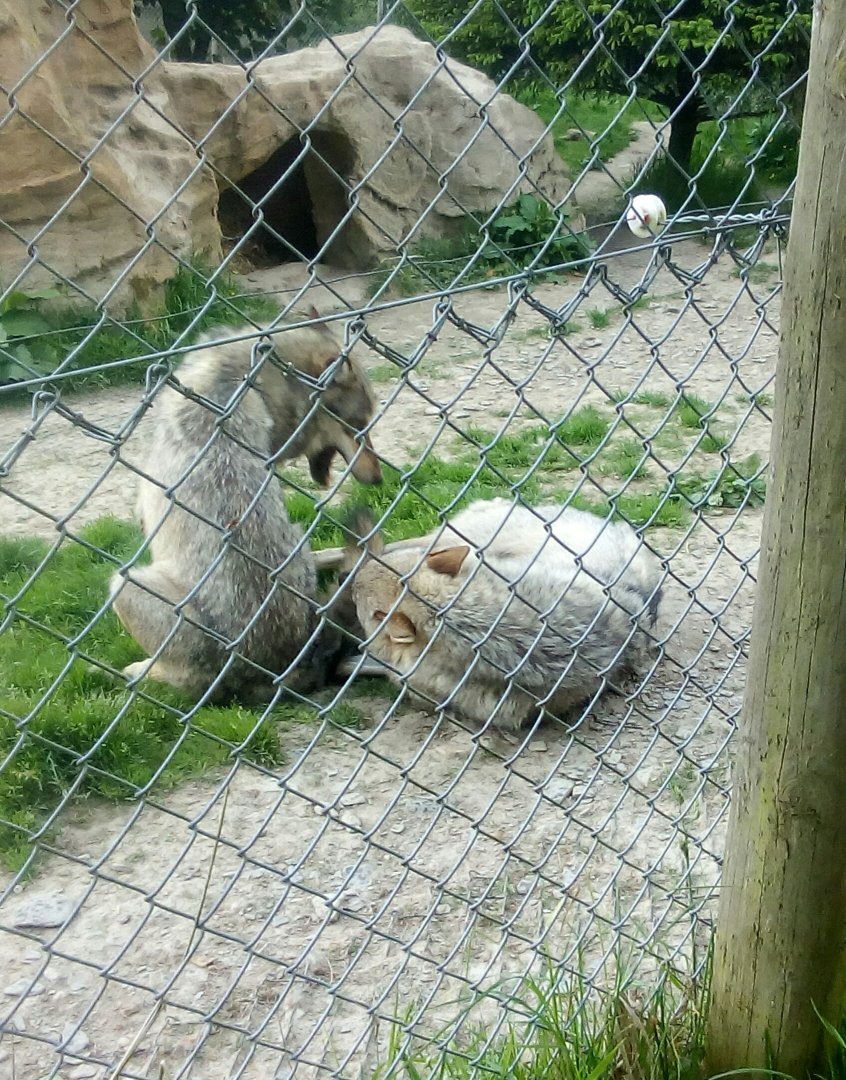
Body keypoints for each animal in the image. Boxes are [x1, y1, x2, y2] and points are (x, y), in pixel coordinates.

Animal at [109, 318, 381, 700]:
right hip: (297, 538)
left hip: (125, 583)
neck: (240, 377)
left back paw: (142, 671)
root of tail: (280, 671)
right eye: (359, 426)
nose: (380, 478)